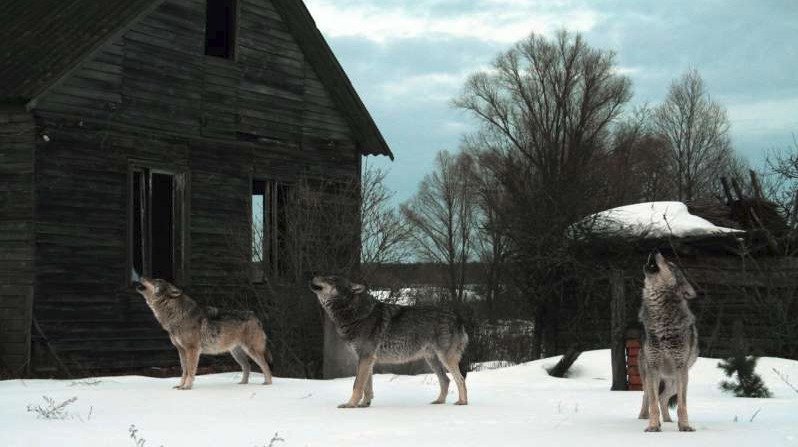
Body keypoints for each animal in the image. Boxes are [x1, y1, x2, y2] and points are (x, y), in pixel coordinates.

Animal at [134, 278, 276, 390]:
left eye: (155, 281)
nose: (141, 276)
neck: (177, 315)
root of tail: (255, 317)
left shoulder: (192, 349)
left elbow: (190, 371)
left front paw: (187, 387)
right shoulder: (181, 350)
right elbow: (184, 370)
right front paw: (181, 386)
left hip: (252, 351)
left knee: (265, 366)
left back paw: (267, 384)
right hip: (236, 353)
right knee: (247, 366)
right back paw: (242, 384)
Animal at [310, 274, 472, 408]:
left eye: (331, 279)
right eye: (325, 276)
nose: (313, 276)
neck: (356, 314)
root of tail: (458, 318)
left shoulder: (365, 357)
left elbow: (357, 385)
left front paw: (350, 405)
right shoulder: (367, 360)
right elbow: (367, 387)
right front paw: (364, 404)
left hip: (445, 359)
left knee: (460, 380)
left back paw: (462, 402)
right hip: (432, 360)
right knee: (446, 380)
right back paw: (439, 401)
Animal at [636, 250, 700, 432]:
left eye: (670, 265)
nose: (655, 250)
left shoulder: (680, 368)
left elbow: (682, 405)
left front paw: (684, 426)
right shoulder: (653, 367)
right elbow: (653, 403)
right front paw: (652, 426)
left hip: (674, 381)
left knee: (663, 398)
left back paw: (668, 420)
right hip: (650, 376)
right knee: (648, 397)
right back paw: (644, 417)